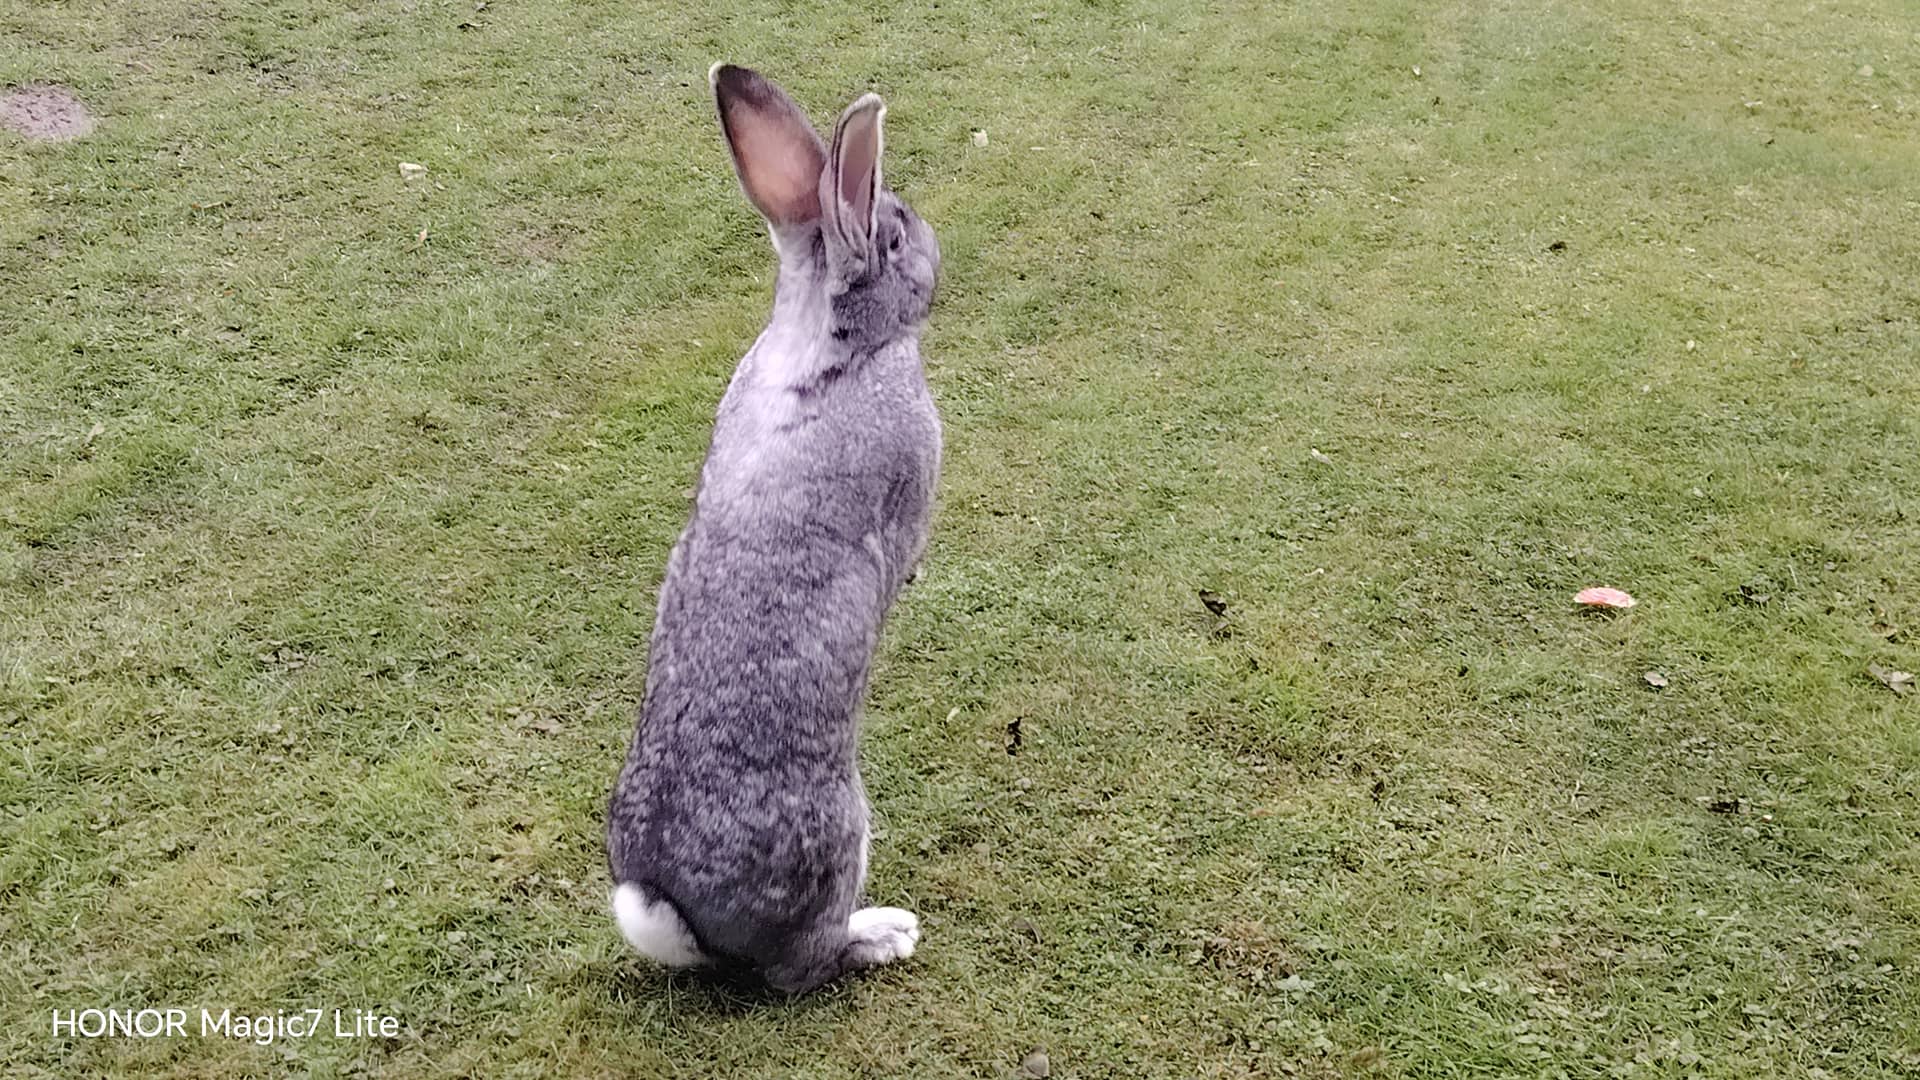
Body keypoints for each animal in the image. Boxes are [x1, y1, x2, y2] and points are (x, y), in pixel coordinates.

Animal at [604, 63, 943, 995]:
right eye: (895, 236)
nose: (936, 251)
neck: (826, 344)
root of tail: (681, 919)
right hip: (837, 834)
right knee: (802, 968)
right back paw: (883, 934)